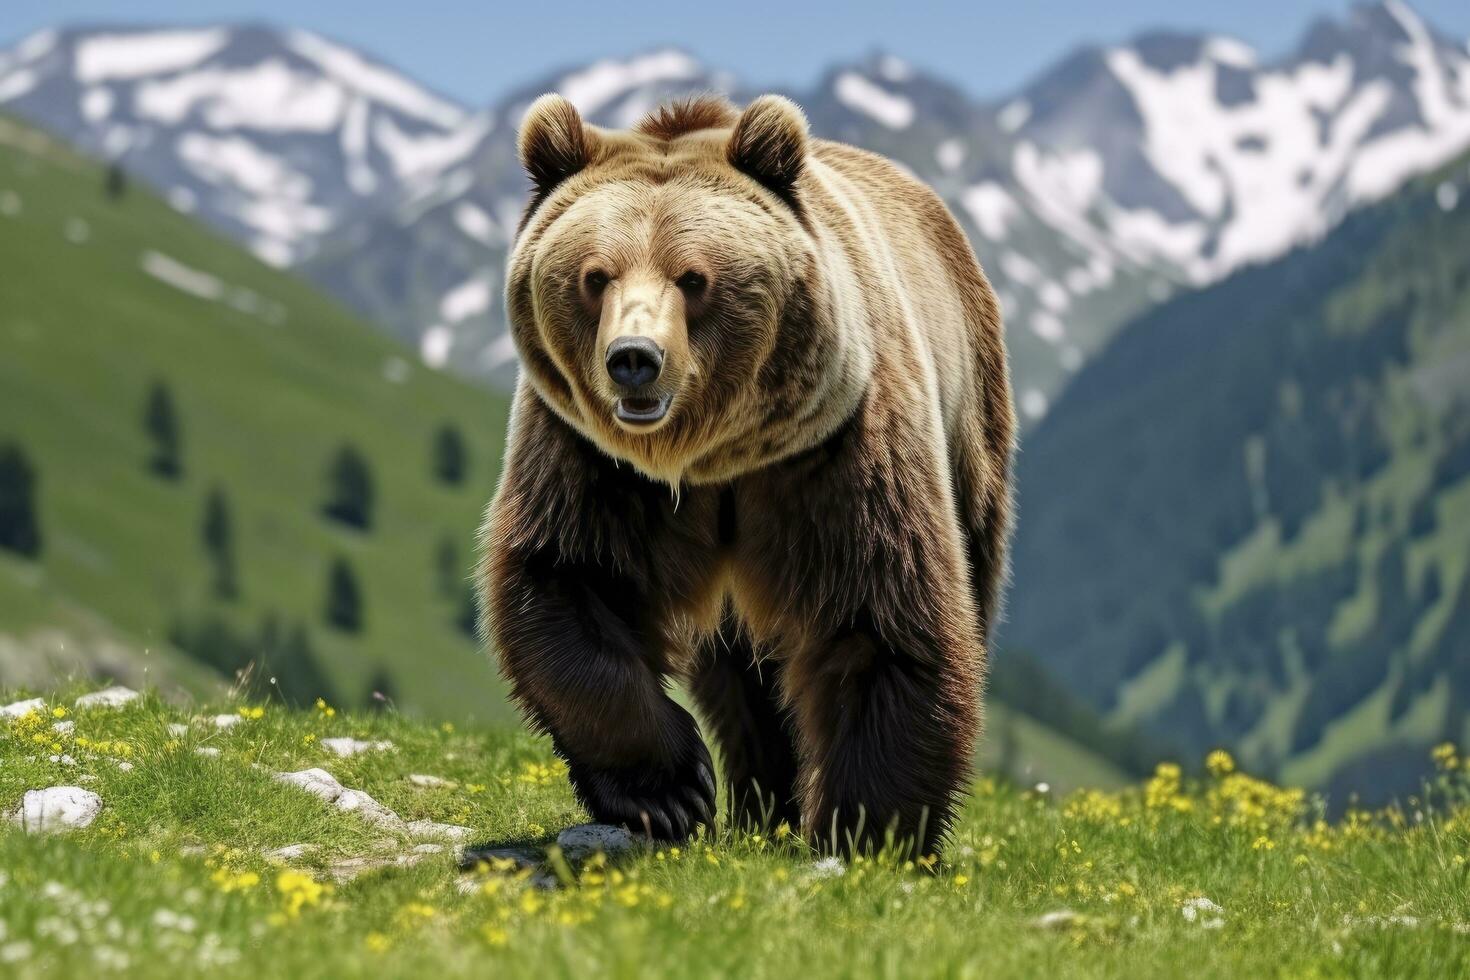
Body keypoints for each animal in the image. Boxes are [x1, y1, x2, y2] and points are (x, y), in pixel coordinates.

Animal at [482, 91, 1011, 858]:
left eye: (693, 278)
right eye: (594, 276)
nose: (634, 359)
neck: (712, 458)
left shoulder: (837, 447)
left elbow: (883, 617)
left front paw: (868, 830)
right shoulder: (592, 460)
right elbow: (568, 583)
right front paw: (672, 791)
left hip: (971, 414)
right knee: (740, 673)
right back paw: (762, 801)